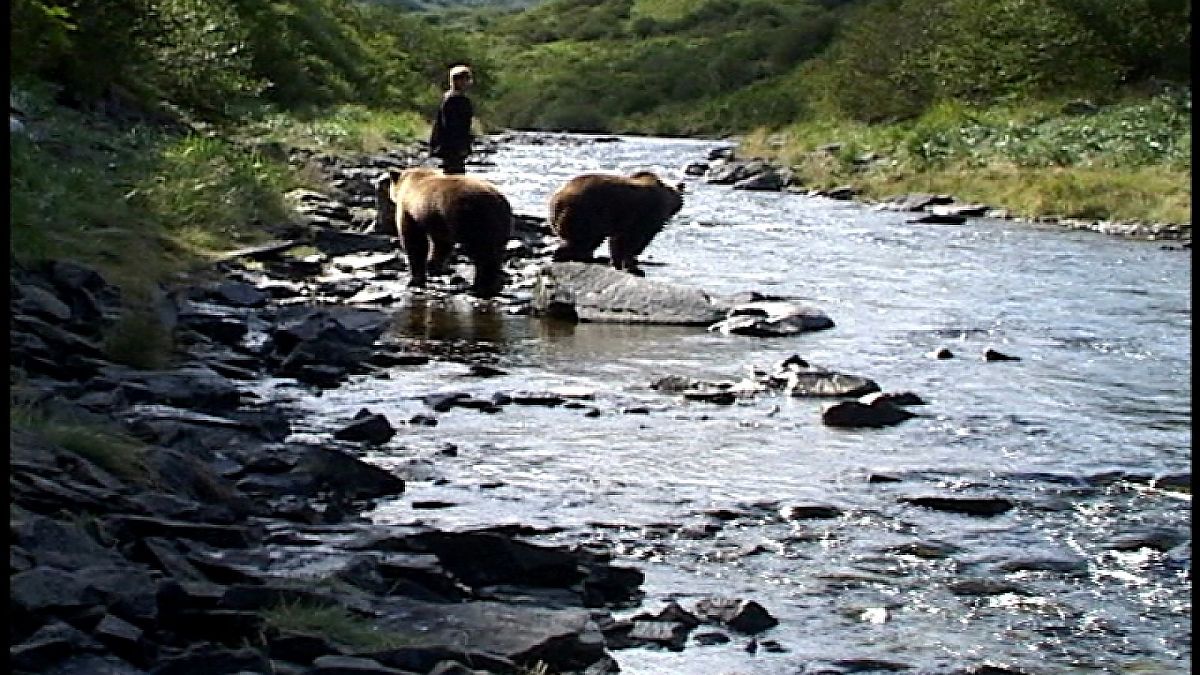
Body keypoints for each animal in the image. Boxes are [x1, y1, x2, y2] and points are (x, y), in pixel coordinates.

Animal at [387, 167, 513, 298]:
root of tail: (499, 201)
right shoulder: (439, 220)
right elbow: (441, 244)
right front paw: (432, 266)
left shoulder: (410, 212)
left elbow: (415, 242)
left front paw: (415, 279)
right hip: (500, 226)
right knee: (496, 253)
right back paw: (494, 285)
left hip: (472, 220)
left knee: (482, 253)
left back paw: (482, 287)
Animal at [549, 171, 684, 276]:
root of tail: (556, 199)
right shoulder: (643, 217)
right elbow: (632, 242)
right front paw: (635, 267)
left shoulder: (621, 220)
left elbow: (617, 242)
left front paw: (617, 263)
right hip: (585, 214)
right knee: (583, 240)